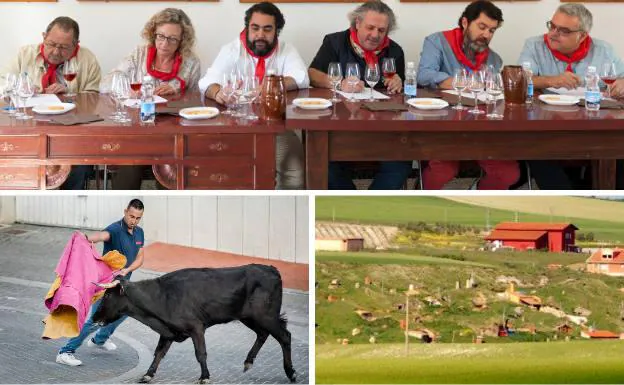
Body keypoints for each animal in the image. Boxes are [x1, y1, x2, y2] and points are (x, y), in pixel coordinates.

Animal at [92, 262, 298, 382]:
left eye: (108, 295)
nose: (94, 318)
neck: (162, 296)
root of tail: (271, 269)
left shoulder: (196, 327)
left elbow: (201, 353)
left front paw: (205, 376)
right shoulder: (168, 331)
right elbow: (159, 353)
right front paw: (148, 374)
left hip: (266, 316)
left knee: (285, 336)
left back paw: (291, 372)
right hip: (249, 317)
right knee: (263, 334)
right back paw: (248, 362)